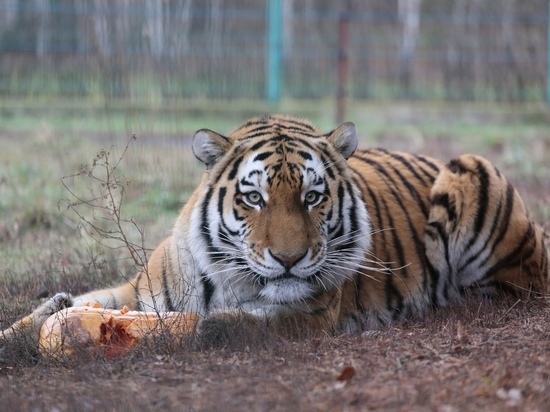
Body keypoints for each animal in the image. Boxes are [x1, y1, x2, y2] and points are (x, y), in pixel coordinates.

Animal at [1, 112, 550, 344]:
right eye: (254, 198)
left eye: (312, 197)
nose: (289, 259)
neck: (226, 280)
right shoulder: (137, 289)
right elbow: (65, 308)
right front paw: (35, 325)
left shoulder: (308, 312)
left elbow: (226, 324)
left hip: (473, 169)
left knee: (516, 287)